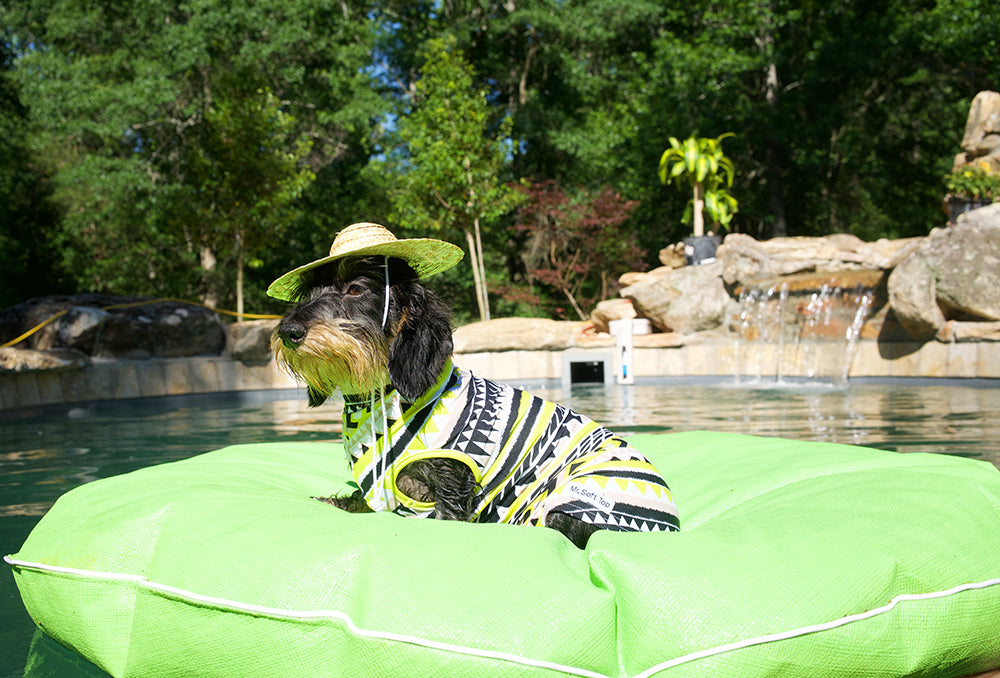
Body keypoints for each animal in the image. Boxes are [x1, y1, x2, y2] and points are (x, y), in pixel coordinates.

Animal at [268, 226, 680, 548]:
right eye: (307, 294)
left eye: (355, 289)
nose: (288, 332)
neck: (380, 398)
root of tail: (672, 524)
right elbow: (360, 500)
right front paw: (334, 502)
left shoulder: (452, 479)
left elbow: (447, 514)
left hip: (569, 503)